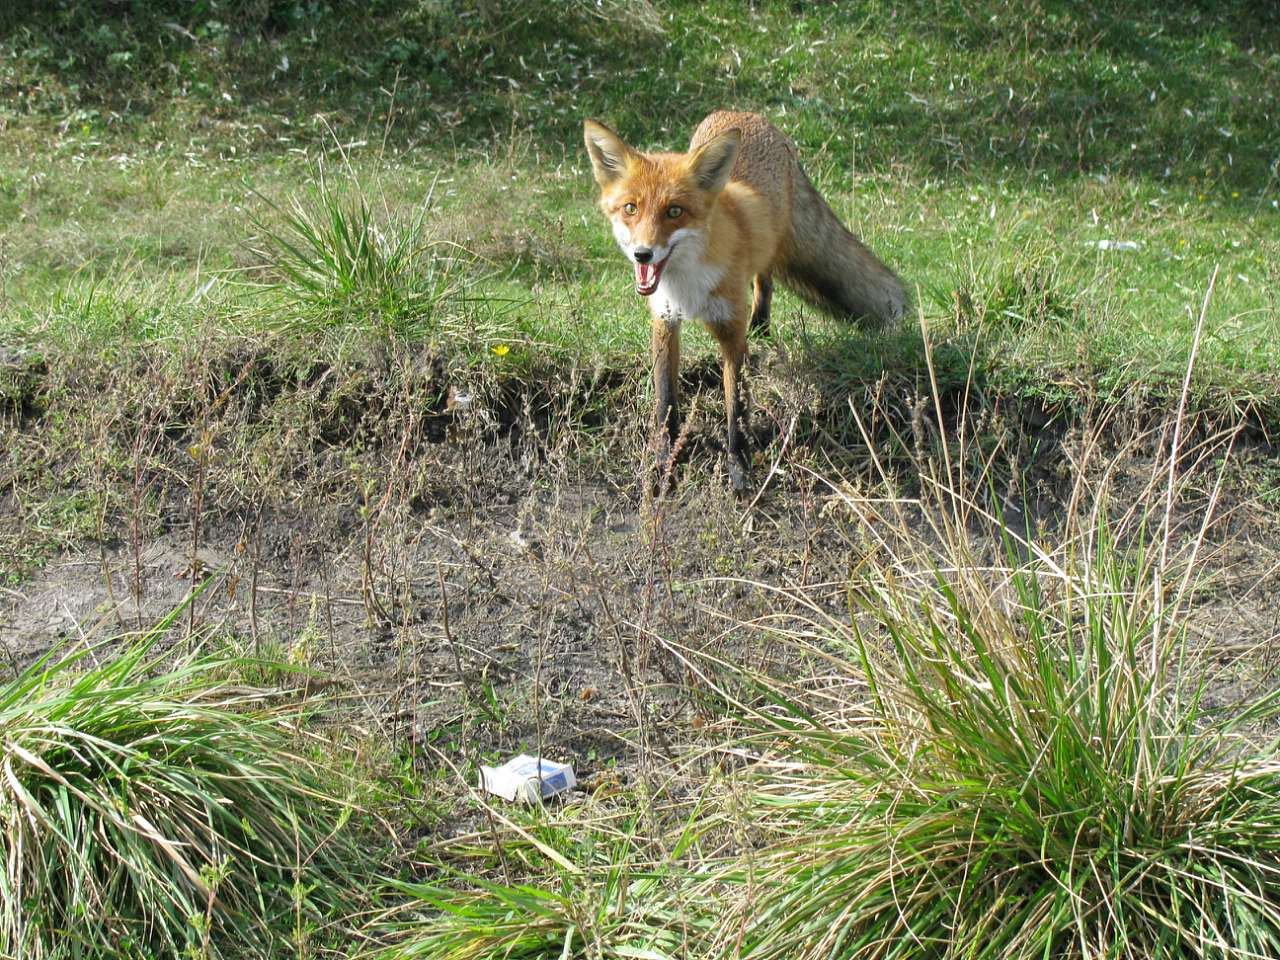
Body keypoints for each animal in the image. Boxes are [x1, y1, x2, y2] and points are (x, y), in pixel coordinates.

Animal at [586, 108, 906, 491]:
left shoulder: (730, 328)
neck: (687, 284)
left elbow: (735, 408)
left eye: (674, 212)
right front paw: (664, 466)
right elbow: (665, 403)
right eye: (631, 208)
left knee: (764, 282)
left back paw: (762, 329)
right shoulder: (664, 321)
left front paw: (739, 472)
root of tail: (743, 113)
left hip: (770, 248)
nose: (642, 254)